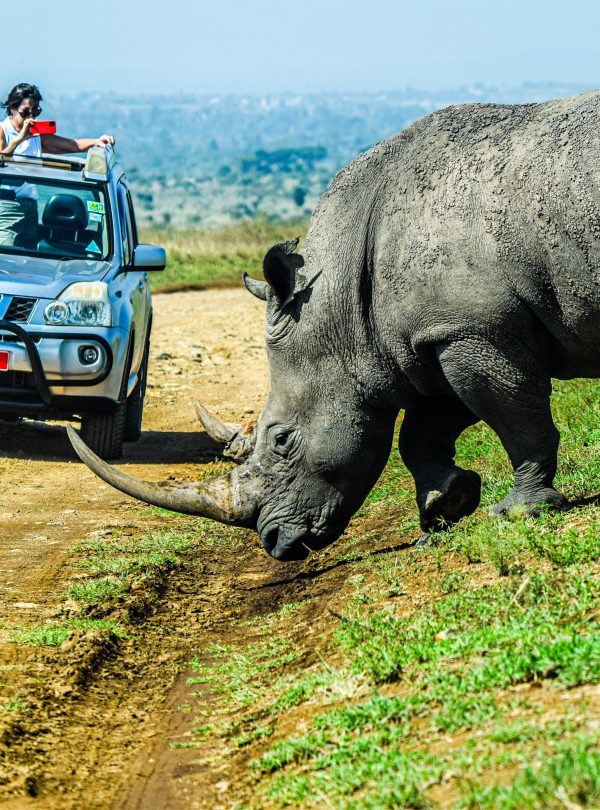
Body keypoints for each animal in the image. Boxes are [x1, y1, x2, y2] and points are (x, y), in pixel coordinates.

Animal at [68, 89, 600, 562]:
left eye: (282, 440)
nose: (274, 544)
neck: (339, 298)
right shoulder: (433, 338)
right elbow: (423, 430)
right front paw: (448, 502)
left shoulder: (472, 330)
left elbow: (517, 417)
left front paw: (519, 512)